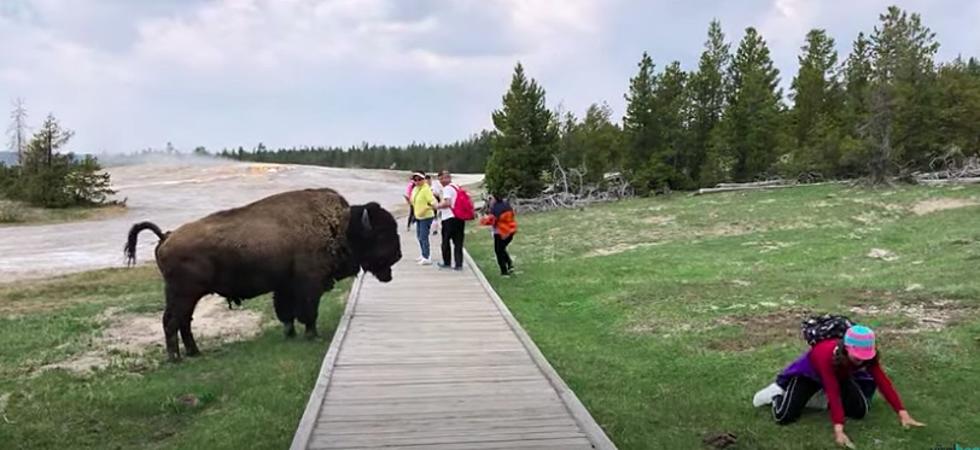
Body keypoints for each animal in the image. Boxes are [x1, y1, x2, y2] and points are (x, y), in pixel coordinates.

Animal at [125, 188, 402, 360]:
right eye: (380, 234)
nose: (398, 255)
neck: (341, 226)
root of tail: (166, 236)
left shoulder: (285, 287)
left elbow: (286, 313)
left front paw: (290, 335)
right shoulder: (309, 285)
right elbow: (308, 312)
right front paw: (312, 336)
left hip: (185, 296)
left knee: (183, 321)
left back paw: (194, 353)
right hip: (183, 293)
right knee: (172, 321)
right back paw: (176, 359)